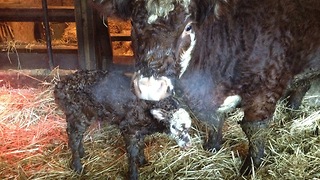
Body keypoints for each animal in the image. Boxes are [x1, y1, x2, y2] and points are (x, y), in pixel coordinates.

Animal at [53, 69, 191, 179]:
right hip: (77, 114)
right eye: (176, 127)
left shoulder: (140, 130)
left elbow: (141, 145)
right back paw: (77, 167)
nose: (188, 144)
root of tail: (60, 85)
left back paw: (82, 153)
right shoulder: (129, 128)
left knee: (77, 135)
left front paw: (143, 161)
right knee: (73, 139)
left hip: (84, 115)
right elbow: (132, 152)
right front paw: (134, 174)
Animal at [90, 0, 320, 175]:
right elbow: (212, 121)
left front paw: (251, 168)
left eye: (188, 27)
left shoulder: (266, 88)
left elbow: (254, 130)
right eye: (133, 23)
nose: (149, 86)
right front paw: (212, 147)